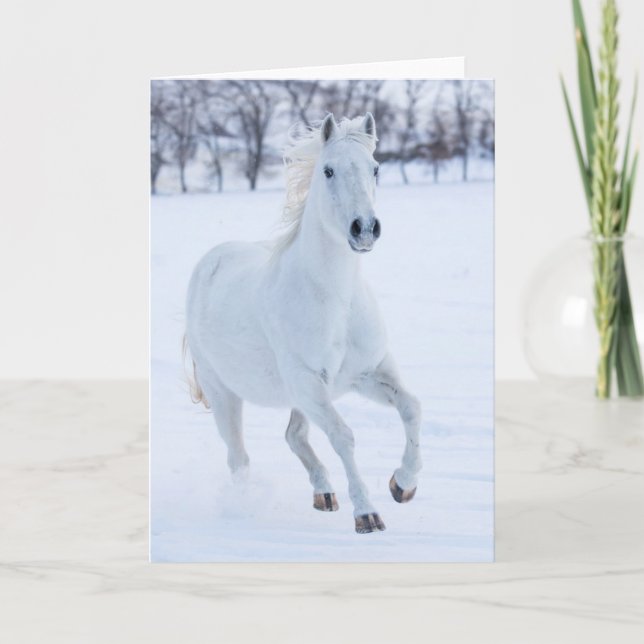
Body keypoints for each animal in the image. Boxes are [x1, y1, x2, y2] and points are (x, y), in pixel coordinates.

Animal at [185, 113, 421, 534]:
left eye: (375, 168)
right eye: (328, 170)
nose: (365, 228)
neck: (337, 302)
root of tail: (210, 261)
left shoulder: (368, 374)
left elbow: (411, 408)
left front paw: (402, 485)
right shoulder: (310, 383)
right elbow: (343, 436)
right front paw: (367, 514)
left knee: (294, 436)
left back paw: (324, 494)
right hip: (225, 392)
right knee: (239, 459)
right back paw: (244, 508)